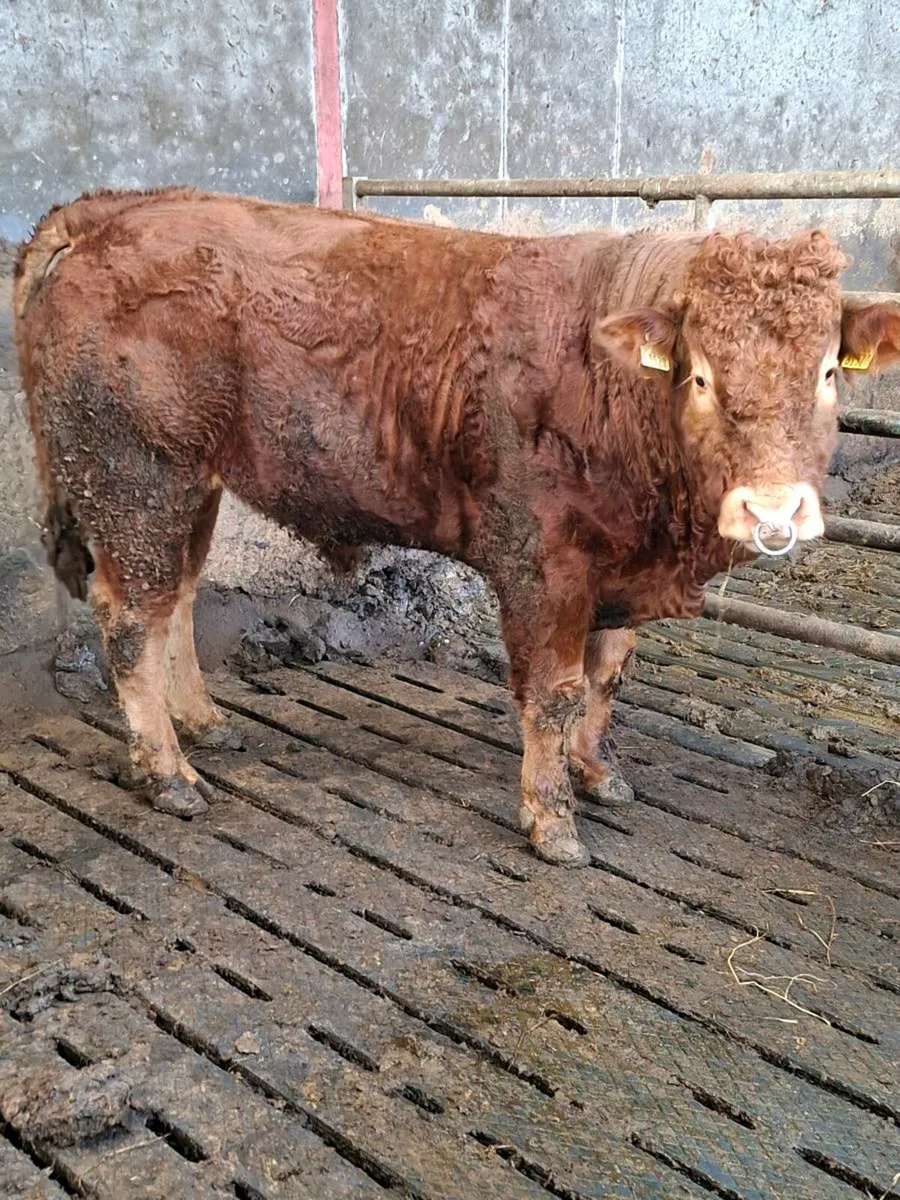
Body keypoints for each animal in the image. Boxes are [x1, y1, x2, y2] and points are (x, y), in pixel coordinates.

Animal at [14, 188, 900, 866]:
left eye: (828, 371)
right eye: (703, 376)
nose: (773, 508)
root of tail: (109, 212)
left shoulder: (622, 567)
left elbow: (608, 678)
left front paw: (598, 775)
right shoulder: (543, 567)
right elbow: (554, 694)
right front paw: (552, 822)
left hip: (191, 482)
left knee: (178, 600)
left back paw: (204, 724)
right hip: (136, 475)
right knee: (132, 620)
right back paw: (169, 775)